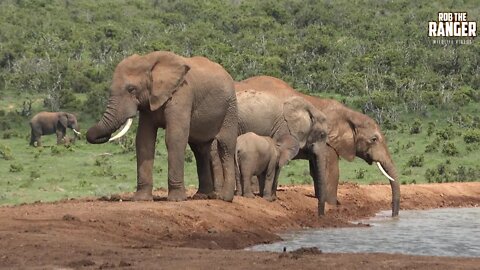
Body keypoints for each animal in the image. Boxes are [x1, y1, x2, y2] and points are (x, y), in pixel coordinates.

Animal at [86, 50, 238, 202]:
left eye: (131, 89)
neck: (148, 61)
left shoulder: (181, 94)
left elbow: (174, 137)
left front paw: (176, 200)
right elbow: (144, 139)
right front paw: (141, 199)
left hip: (230, 108)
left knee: (226, 147)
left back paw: (224, 198)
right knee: (200, 148)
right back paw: (202, 195)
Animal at [238, 76, 400, 217]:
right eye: (374, 139)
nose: (394, 215)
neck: (349, 113)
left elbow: (317, 170)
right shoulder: (328, 143)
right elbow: (332, 171)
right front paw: (332, 205)